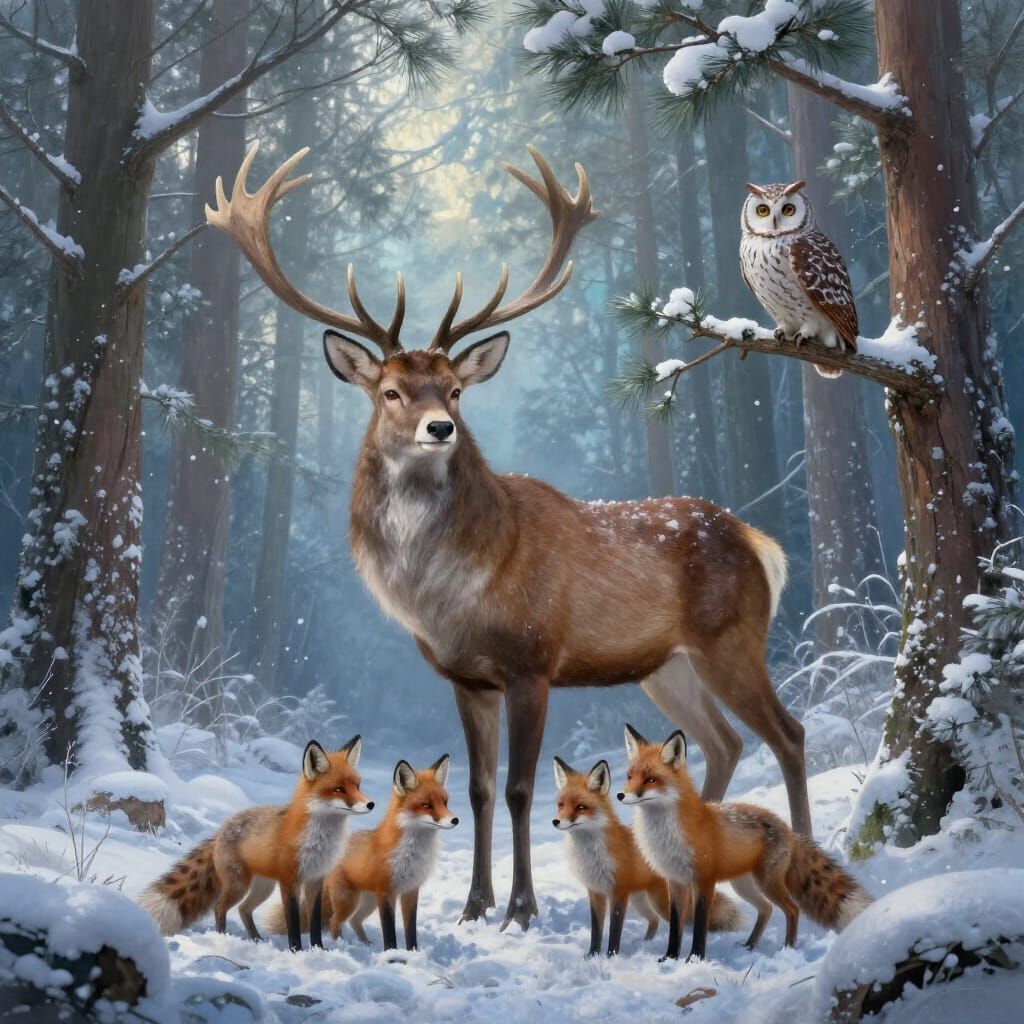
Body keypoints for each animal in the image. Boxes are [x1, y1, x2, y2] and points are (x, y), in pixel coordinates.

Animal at [138, 736, 372, 951]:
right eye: (339, 789)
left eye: (357, 786)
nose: (370, 804)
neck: (319, 842)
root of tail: (222, 829)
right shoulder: (289, 880)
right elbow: (293, 921)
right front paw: (296, 950)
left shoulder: (316, 879)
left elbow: (314, 922)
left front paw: (318, 950)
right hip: (239, 885)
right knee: (219, 907)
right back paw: (223, 937)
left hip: (263, 888)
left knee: (243, 909)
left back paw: (256, 939)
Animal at [266, 754, 458, 951]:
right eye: (426, 805)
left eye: (445, 802)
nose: (455, 820)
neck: (412, 854)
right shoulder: (386, 892)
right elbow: (389, 931)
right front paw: (392, 952)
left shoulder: (411, 890)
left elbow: (411, 930)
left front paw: (412, 952)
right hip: (349, 901)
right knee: (336, 921)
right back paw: (342, 943)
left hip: (367, 901)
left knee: (354, 920)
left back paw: (365, 943)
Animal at [552, 756, 744, 957]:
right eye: (561, 805)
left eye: (580, 807)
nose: (555, 821)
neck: (591, 855)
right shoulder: (595, 892)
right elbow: (596, 931)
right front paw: (592, 956)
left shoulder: (618, 892)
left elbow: (614, 931)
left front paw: (611, 956)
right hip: (641, 902)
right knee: (654, 920)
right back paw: (646, 943)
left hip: (658, 902)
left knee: (681, 920)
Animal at [619, 724, 872, 961]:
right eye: (630, 777)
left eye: (651, 780)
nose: (621, 795)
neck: (666, 836)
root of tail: (788, 830)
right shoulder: (676, 881)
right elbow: (675, 926)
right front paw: (670, 958)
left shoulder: (704, 881)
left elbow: (700, 925)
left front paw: (695, 958)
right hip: (744, 885)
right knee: (766, 909)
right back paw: (751, 945)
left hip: (766, 882)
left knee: (792, 908)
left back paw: (788, 947)